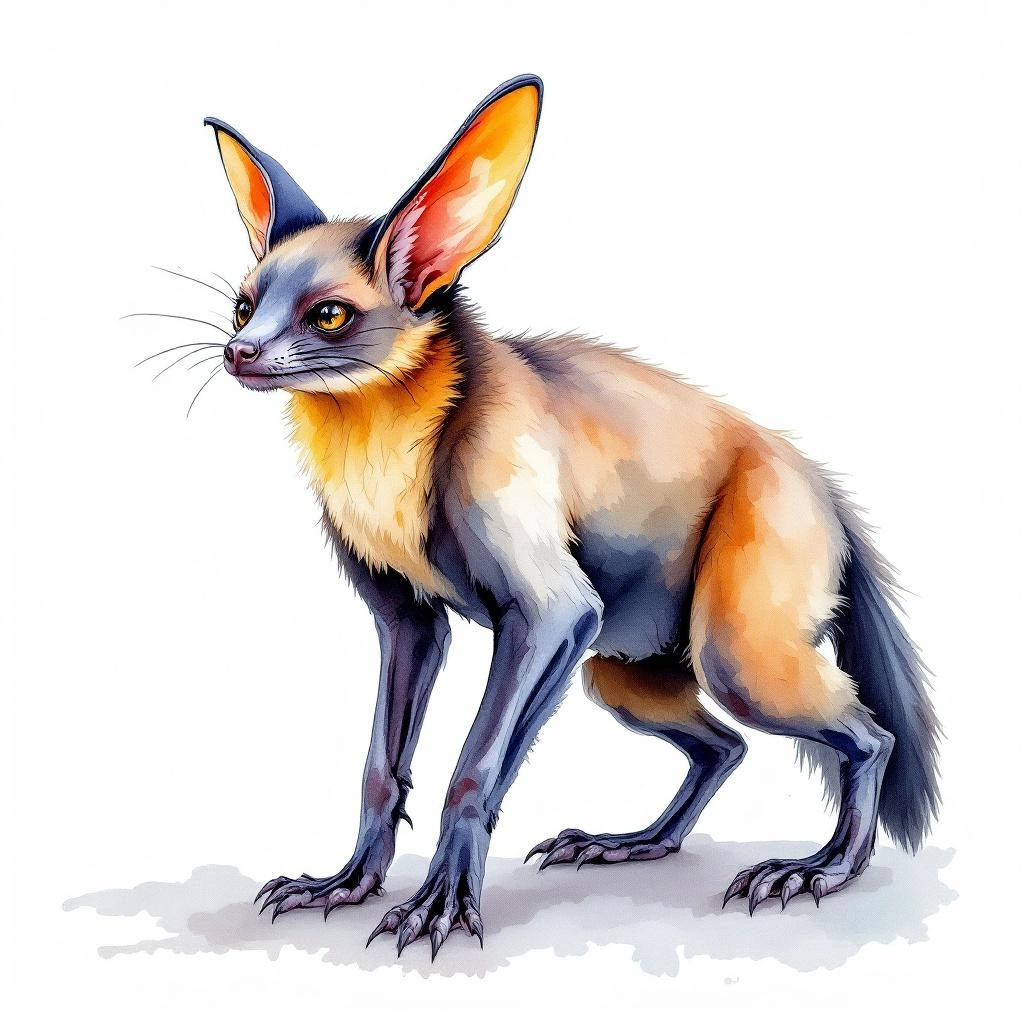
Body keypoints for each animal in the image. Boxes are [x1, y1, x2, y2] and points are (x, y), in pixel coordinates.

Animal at [193, 75, 940, 959]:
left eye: (329, 316)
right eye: (243, 309)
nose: (238, 354)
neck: (386, 449)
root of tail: (828, 492)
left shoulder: (551, 615)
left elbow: (474, 770)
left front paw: (441, 907)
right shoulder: (409, 623)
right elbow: (381, 769)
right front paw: (344, 886)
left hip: (733, 656)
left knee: (869, 736)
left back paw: (819, 871)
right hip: (621, 673)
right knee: (725, 747)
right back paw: (635, 844)